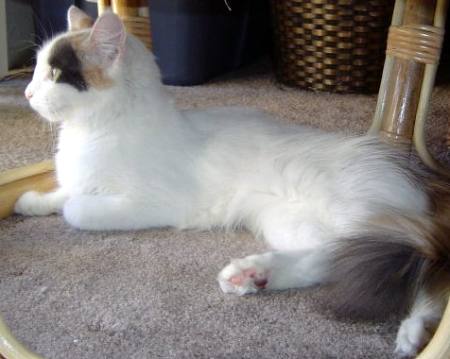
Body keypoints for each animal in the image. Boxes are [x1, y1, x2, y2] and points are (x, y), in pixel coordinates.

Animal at [15, 7, 448, 358]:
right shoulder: (79, 179)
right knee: (332, 259)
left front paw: (62, 205)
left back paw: (414, 332)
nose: (26, 91)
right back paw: (253, 275)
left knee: (415, 269)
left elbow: (76, 208)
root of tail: (417, 184)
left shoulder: (151, 202)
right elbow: (63, 192)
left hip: (356, 218)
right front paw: (30, 200)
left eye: (55, 74)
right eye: (36, 70)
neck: (94, 131)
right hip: (290, 223)